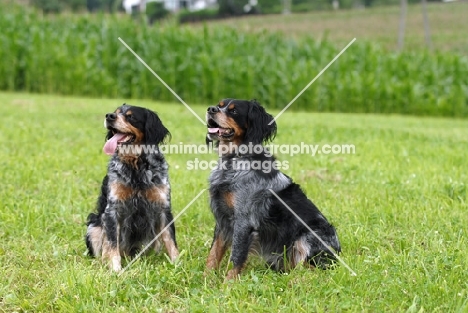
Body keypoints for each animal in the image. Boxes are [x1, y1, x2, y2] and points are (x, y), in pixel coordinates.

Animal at [85, 103, 178, 270]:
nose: (109, 116)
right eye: (114, 112)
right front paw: (115, 270)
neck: (136, 166)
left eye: (131, 116)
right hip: (93, 226)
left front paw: (178, 265)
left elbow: (171, 241)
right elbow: (112, 245)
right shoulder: (112, 210)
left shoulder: (163, 208)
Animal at [205, 98, 340, 280]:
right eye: (219, 105)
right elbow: (213, 254)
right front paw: (205, 280)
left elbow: (236, 258)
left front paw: (228, 283)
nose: (210, 109)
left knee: (310, 268)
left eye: (233, 111)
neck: (234, 161)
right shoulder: (222, 219)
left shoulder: (244, 222)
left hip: (307, 238)